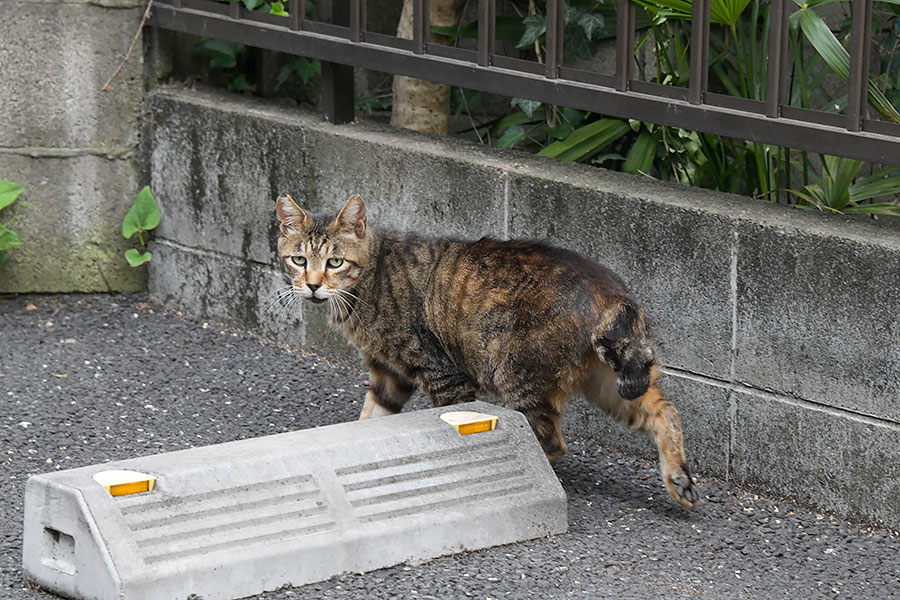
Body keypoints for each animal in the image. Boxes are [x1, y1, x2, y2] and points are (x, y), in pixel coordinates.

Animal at [278, 195, 700, 508]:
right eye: (299, 260)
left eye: (334, 261)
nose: (312, 285)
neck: (370, 279)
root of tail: (611, 291)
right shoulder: (388, 373)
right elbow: (370, 419)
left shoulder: (441, 372)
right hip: (610, 382)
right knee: (663, 409)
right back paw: (678, 478)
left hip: (518, 373)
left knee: (550, 441)